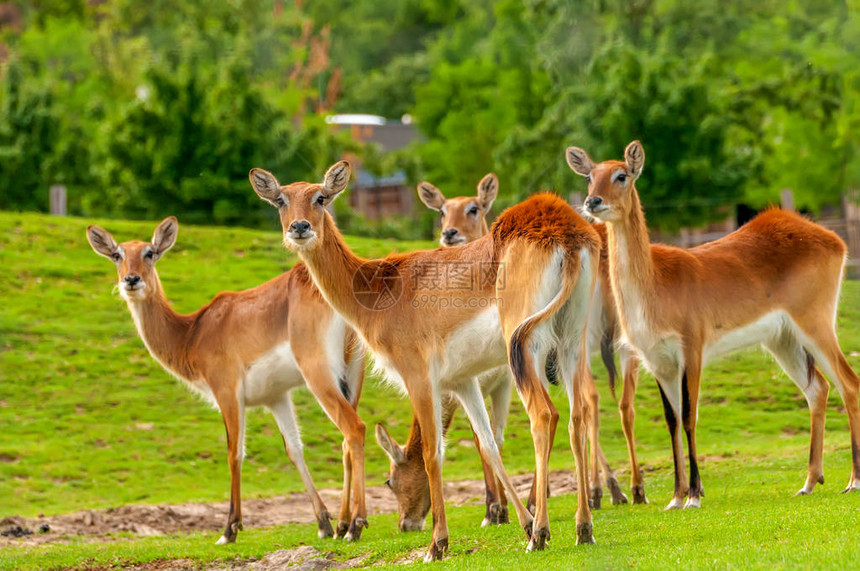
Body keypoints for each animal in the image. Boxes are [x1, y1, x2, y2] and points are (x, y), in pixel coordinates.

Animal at [85, 218, 368, 544]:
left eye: (149, 252)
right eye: (117, 254)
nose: (131, 280)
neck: (193, 333)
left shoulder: (227, 392)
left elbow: (234, 452)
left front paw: (229, 529)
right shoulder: (276, 396)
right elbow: (294, 449)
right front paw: (323, 524)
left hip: (319, 374)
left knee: (354, 428)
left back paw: (356, 526)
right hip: (352, 376)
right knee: (346, 441)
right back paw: (343, 525)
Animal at [247, 163, 596, 560]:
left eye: (321, 197)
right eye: (280, 200)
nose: (300, 227)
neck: (380, 290)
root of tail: (561, 228)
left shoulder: (419, 379)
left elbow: (433, 453)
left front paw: (437, 544)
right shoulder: (461, 382)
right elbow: (489, 444)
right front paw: (518, 522)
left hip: (526, 348)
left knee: (545, 415)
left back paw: (540, 533)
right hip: (571, 342)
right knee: (578, 416)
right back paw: (582, 529)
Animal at [564, 139, 860, 510]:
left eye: (621, 175)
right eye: (590, 176)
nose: (593, 202)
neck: (655, 285)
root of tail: (830, 237)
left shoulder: (691, 351)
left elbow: (690, 417)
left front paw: (692, 495)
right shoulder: (658, 362)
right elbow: (672, 420)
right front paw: (676, 497)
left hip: (815, 324)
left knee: (849, 383)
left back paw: (853, 481)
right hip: (783, 340)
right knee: (817, 389)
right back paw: (808, 482)